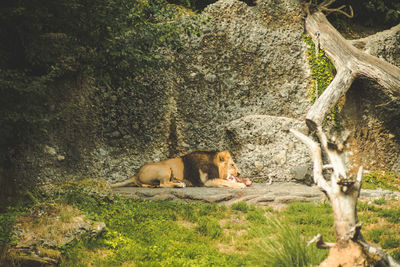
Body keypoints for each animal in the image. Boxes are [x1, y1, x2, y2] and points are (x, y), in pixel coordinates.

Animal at [110, 150, 247, 189]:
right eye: (232, 165)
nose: (239, 173)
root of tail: (136, 173)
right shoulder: (207, 181)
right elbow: (224, 182)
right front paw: (241, 185)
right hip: (165, 167)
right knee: (163, 184)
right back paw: (179, 185)